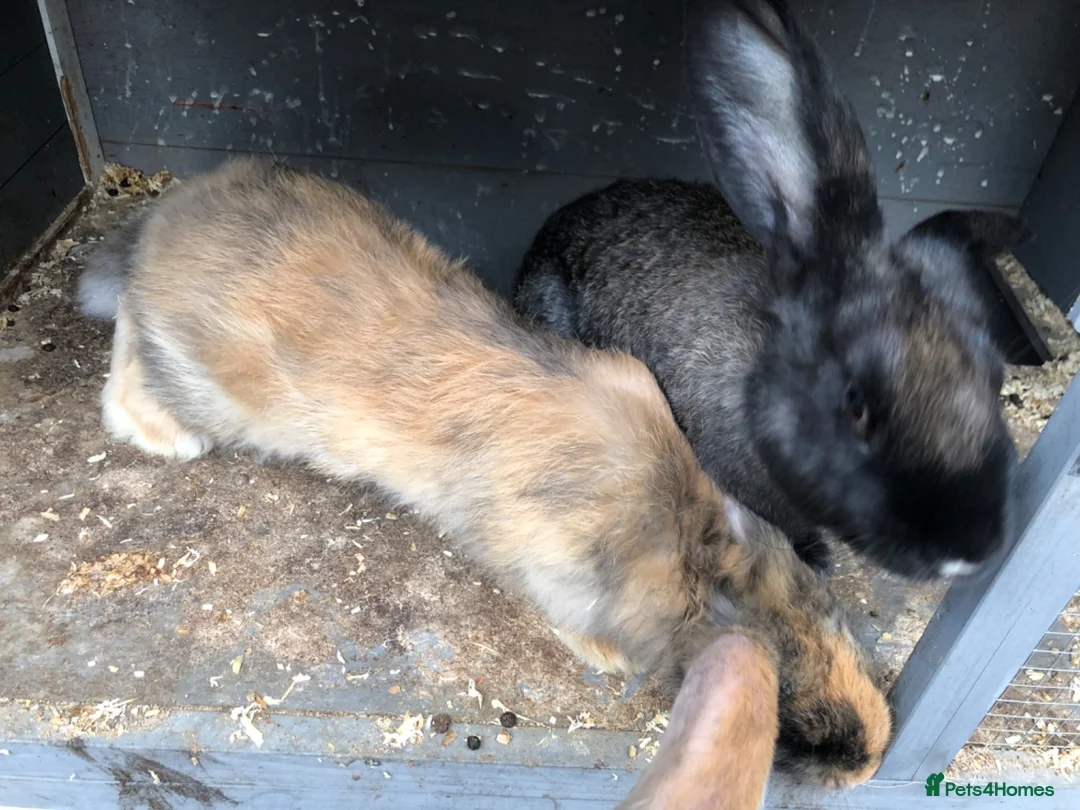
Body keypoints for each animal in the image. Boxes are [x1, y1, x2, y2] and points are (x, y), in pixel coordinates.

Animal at [77, 158, 890, 787]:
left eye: (837, 620)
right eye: (796, 724)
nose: (869, 764)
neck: (685, 543)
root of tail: (167, 221)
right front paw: (605, 656)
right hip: (211, 380)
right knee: (130, 337)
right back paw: (159, 434)